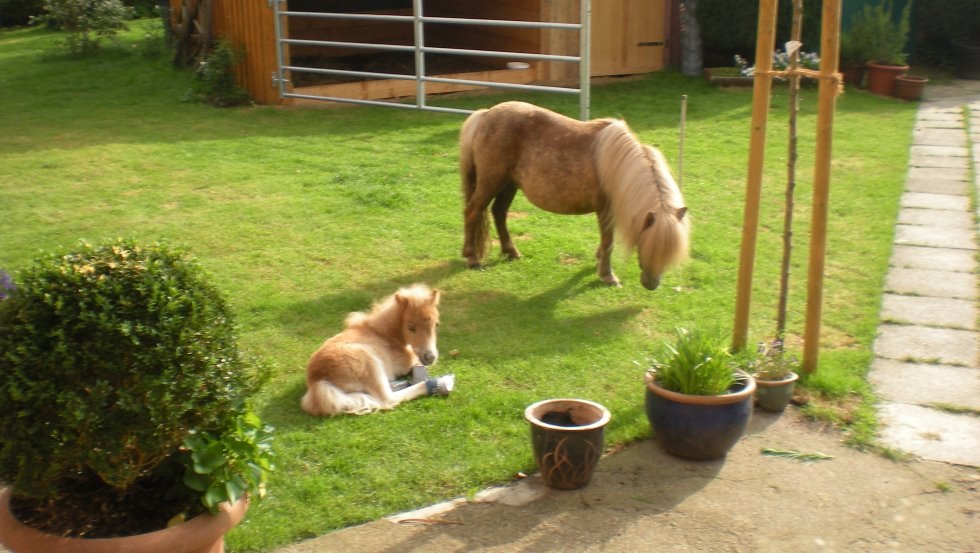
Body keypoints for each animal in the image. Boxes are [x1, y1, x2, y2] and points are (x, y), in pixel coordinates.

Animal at [300, 284, 454, 414]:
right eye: (410, 327)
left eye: (436, 324)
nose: (430, 357)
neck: (383, 334)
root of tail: (317, 381)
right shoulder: (407, 363)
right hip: (370, 364)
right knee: (388, 399)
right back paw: (440, 382)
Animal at [460, 101, 688, 288]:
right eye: (650, 245)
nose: (652, 284)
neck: (616, 165)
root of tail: (485, 115)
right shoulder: (605, 209)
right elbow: (608, 240)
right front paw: (607, 276)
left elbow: (607, 240)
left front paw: (599, 261)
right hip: (491, 182)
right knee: (473, 212)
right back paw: (472, 259)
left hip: (509, 185)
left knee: (499, 213)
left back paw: (511, 251)